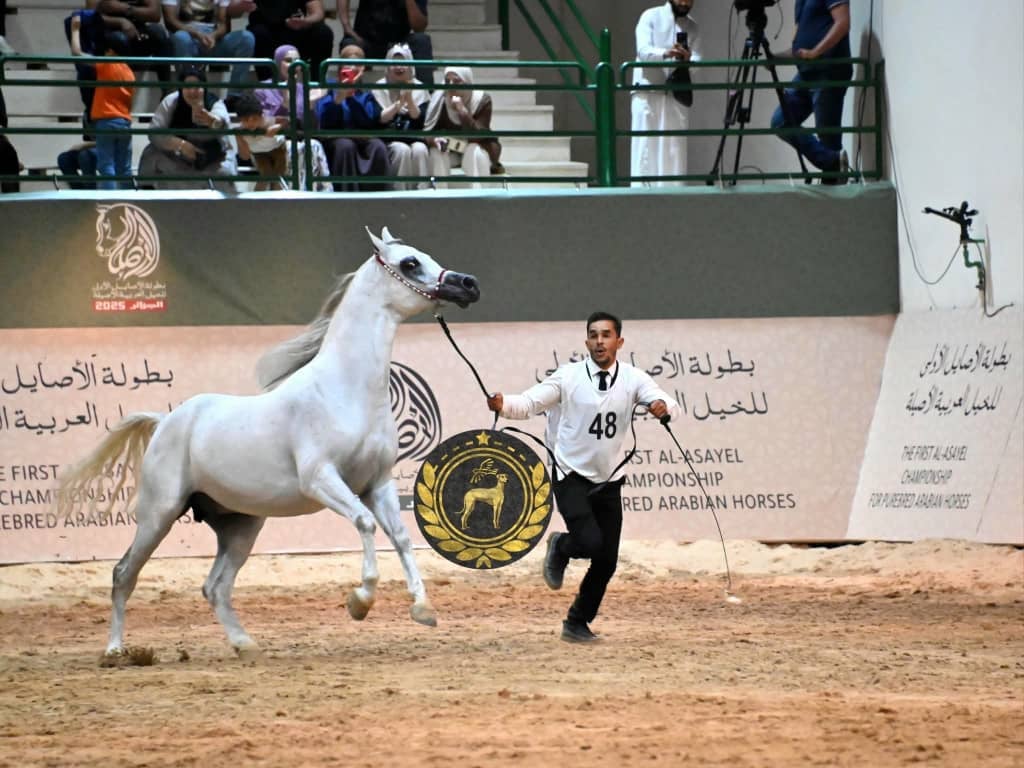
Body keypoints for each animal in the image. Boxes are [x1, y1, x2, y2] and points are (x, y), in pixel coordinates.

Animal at [56, 227, 480, 657]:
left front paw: (423, 609)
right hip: (158, 514)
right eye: (409, 263)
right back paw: (115, 651)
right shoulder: (322, 479)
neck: (345, 389)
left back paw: (245, 645)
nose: (468, 284)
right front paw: (360, 601)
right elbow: (364, 523)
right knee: (123, 573)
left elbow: (401, 537)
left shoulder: (377, 484)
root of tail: (165, 422)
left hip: (240, 526)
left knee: (215, 586)